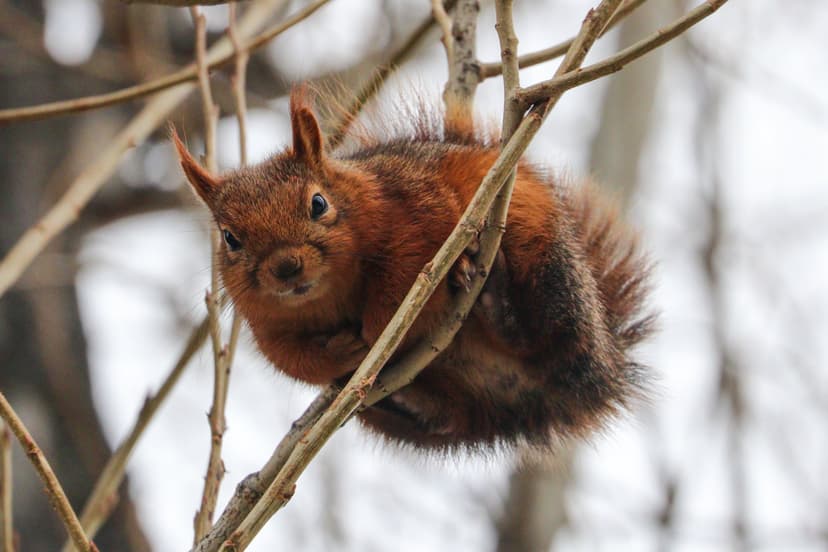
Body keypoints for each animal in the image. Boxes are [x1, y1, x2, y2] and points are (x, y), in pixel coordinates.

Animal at [173, 88, 654, 452]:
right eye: (230, 238)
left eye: (318, 203)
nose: (286, 267)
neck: (333, 295)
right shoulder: (268, 329)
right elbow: (297, 361)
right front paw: (341, 353)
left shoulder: (420, 214)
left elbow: (403, 282)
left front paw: (376, 332)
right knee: (448, 419)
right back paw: (407, 399)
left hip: (540, 251)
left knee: (546, 331)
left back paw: (496, 299)